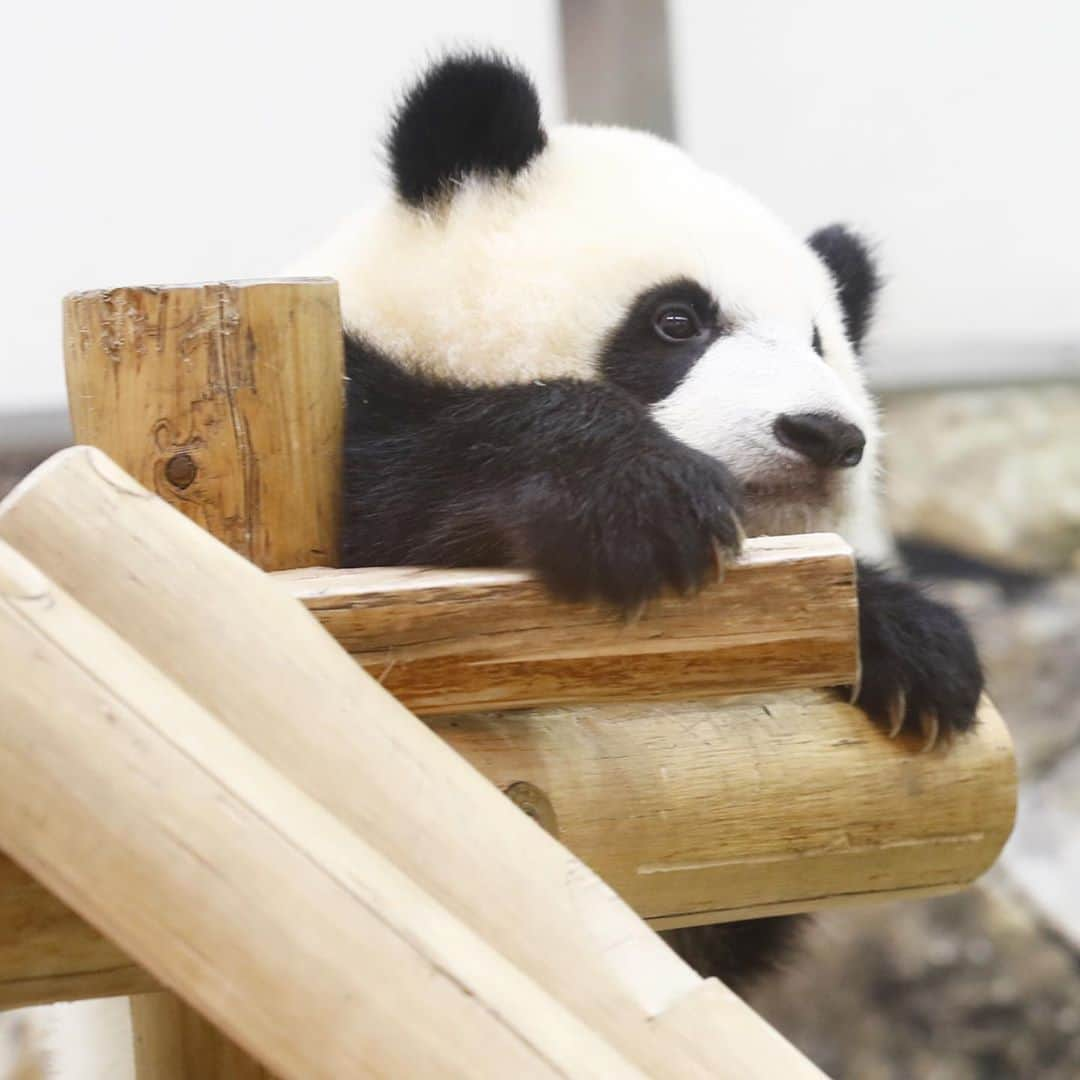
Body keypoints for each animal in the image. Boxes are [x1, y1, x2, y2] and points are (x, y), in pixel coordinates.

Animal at [287, 54, 989, 989]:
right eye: (676, 319)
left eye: (820, 345)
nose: (825, 434)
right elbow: (381, 488)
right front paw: (639, 502)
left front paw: (915, 647)